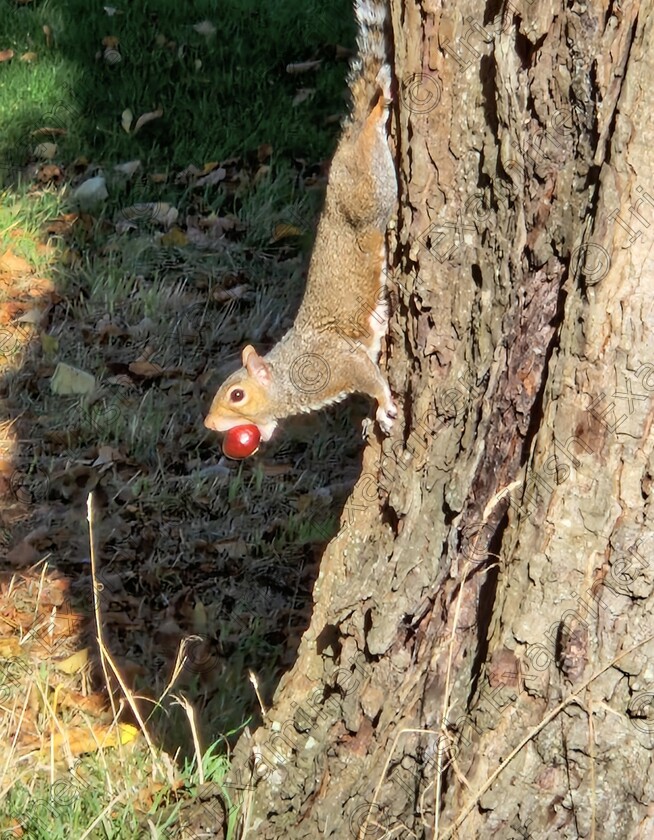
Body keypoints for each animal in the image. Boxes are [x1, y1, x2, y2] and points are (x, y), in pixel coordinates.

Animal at [205, 0, 400, 446]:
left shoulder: (336, 364)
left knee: (372, 125)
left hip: (373, 193)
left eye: (237, 395)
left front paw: (383, 407)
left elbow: (371, 378)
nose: (208, 425)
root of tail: (347, 143)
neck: (288, 378)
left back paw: (378, 105)